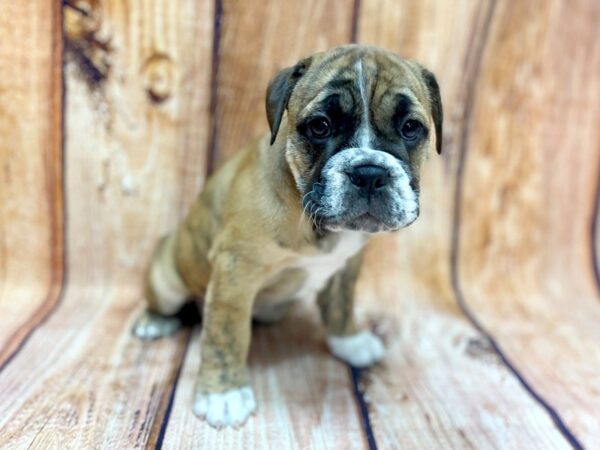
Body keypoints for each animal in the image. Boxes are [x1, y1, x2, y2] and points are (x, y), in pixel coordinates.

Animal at [132, 44, 440, 428]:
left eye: (411, 128)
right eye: (320, 126)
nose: (369, 172)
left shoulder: (347, 265)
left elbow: (341, 303)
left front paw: (349, 341)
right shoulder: (236, 271)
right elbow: (225, 334)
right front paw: (223, 394)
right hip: (167, 281)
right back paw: (153, 322)